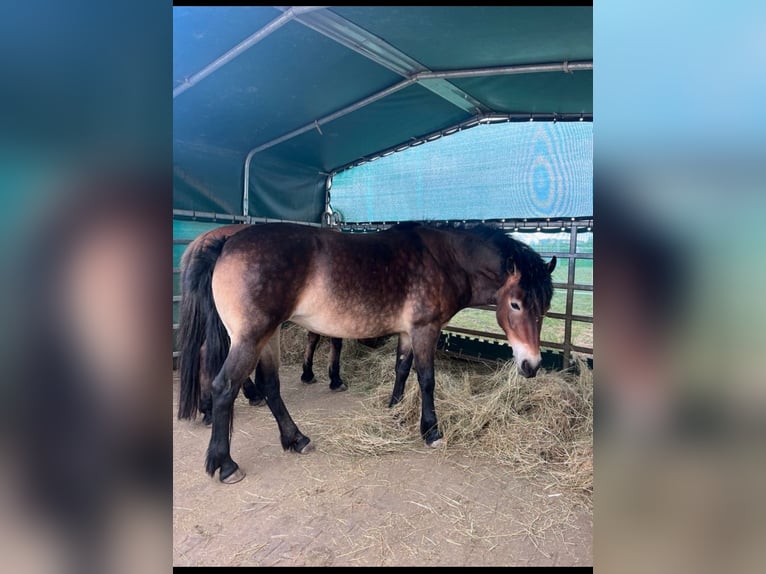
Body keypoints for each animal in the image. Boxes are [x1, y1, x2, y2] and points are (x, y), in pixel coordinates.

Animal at [178, 223, 560, 484]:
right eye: (515, 304)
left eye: (545, 306)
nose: (531, 365)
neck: (443, 258)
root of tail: (226, 243)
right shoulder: (425, 329)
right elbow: (426, 379)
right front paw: (431, 431)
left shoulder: (407, 332)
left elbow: (402, 370)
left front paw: (393, 411)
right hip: (250, 337)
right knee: (225, 386)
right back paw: (224, 463)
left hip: (267, 337)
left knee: (271, 386)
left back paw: (296, 439)